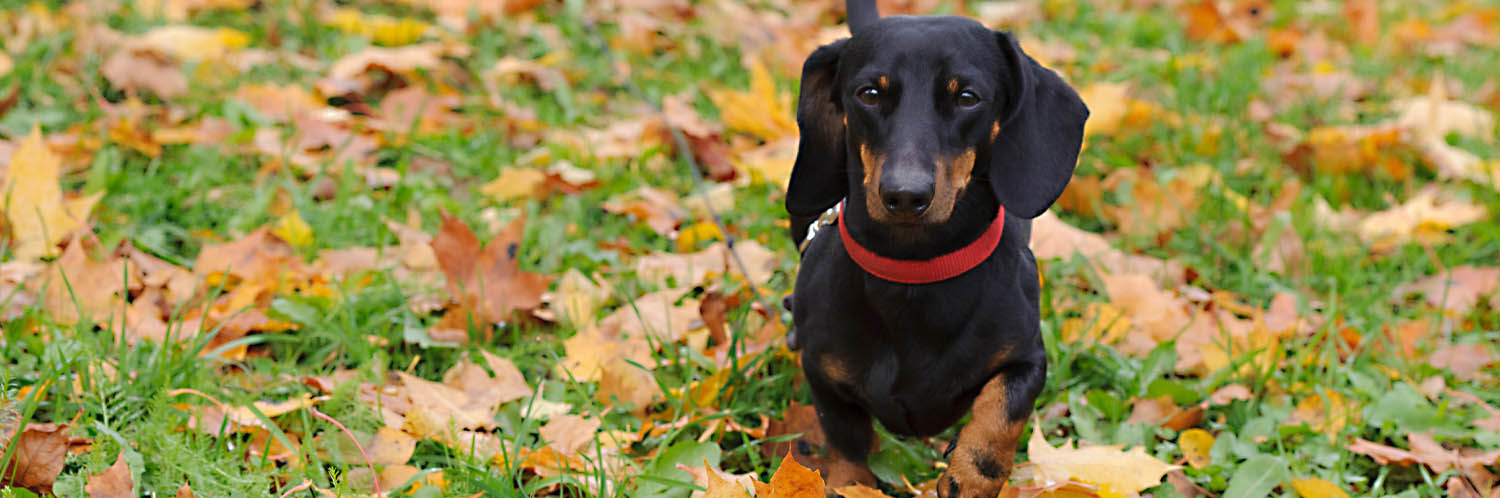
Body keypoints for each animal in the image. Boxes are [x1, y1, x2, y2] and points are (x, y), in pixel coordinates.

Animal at [786, 1, 1092, 495]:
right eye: (869, 93)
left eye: (967, 97)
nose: (905, 195)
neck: (916, 272)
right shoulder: (823, 375)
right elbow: (846, 439)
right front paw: (851, 484)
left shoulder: (1027, 359)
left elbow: (1000, 413)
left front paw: (969, 476)